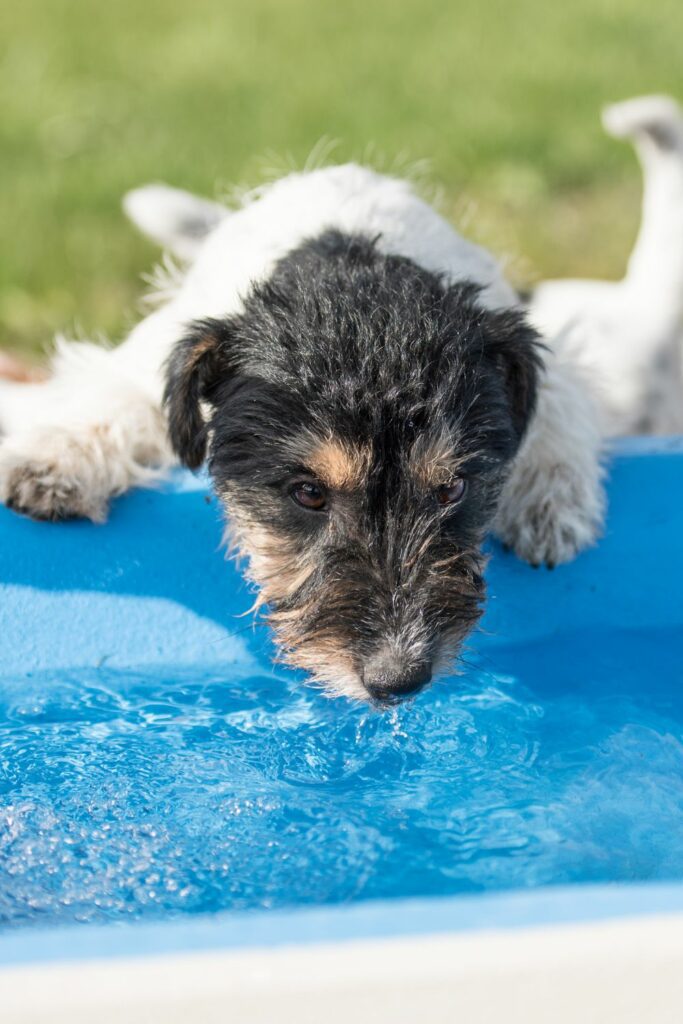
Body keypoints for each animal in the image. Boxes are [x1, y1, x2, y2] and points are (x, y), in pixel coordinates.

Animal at [0, 161, 602, 704]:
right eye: (308, 493)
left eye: (453, 488)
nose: (398, 681)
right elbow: (112, 399)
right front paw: (54, 463)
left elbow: (559, 411)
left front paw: (551, 501)